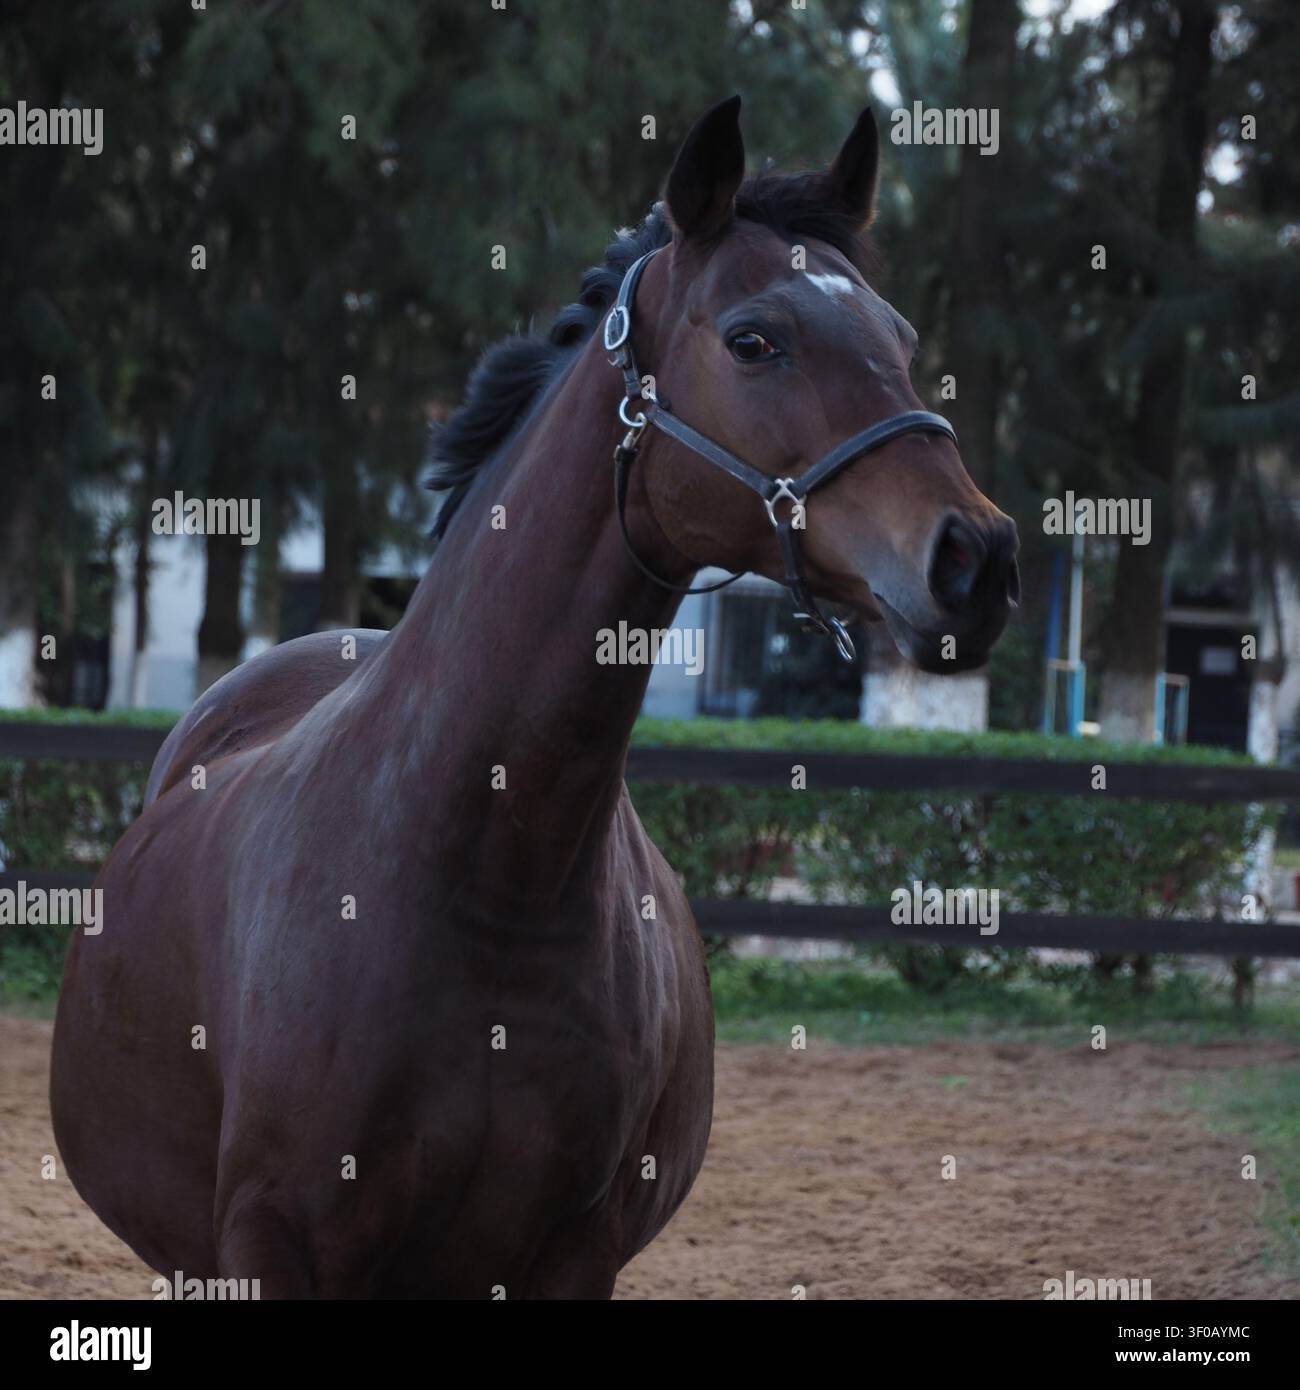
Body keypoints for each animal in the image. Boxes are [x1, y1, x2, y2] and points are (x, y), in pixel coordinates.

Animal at [51, 96, 1018, 1298]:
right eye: (753, 338)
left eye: (901, 340)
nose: (978, 559)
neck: (484, 873)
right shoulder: (274, 1244)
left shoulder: (573, 1253)